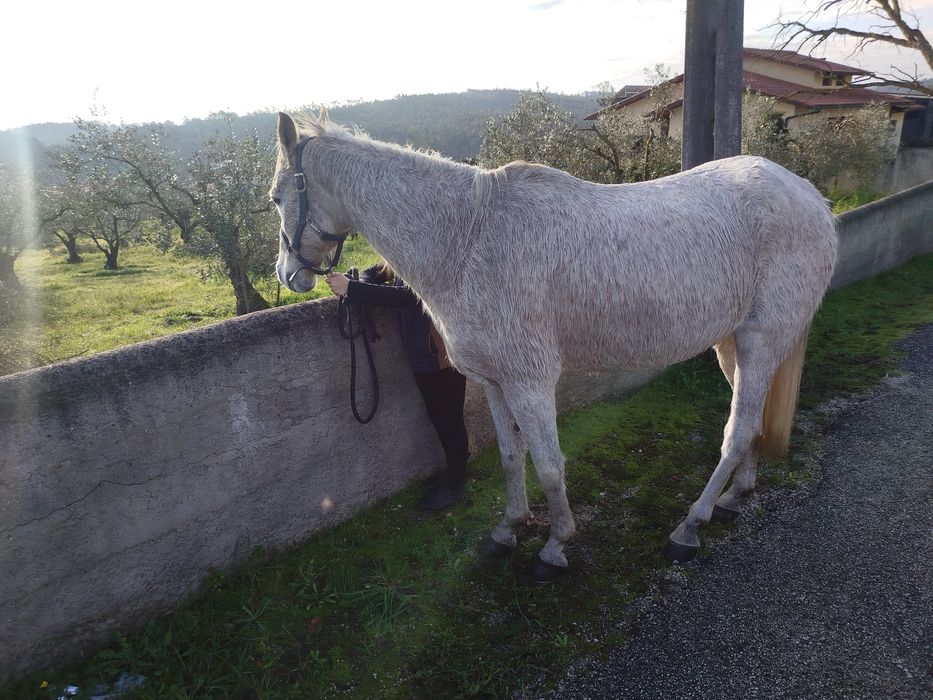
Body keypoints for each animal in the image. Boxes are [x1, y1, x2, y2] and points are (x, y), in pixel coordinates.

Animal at [270, 109, 837, 583]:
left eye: (277, 197)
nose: (288, 274)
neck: (469, 239)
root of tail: (812, 199)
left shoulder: (529, 381)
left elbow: (548, 464)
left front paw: (555, 547)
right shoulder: (493, 382)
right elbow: (509, 456)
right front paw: (508, 530)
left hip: (760, 340)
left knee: (736, 431)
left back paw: (688, 528)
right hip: (731, 345)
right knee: (753, 420)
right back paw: (737, 494)